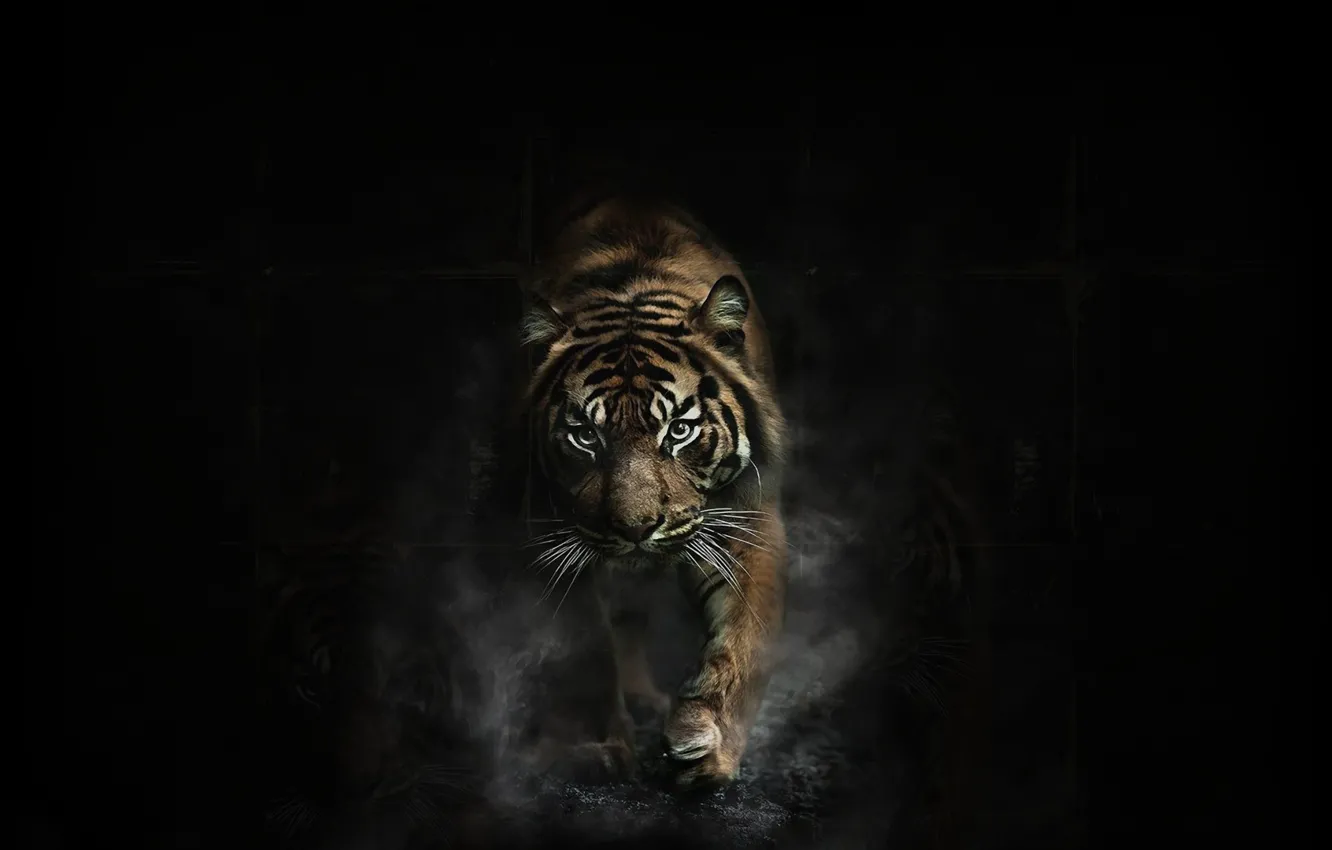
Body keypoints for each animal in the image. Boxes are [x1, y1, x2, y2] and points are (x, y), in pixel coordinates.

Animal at [515, 194, 788, 788]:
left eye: (679, 430)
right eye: (585, 435)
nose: (636, 528)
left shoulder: (746, 520)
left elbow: (743, 640)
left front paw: (707, 746)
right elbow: (586, 646)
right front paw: (597, 747)